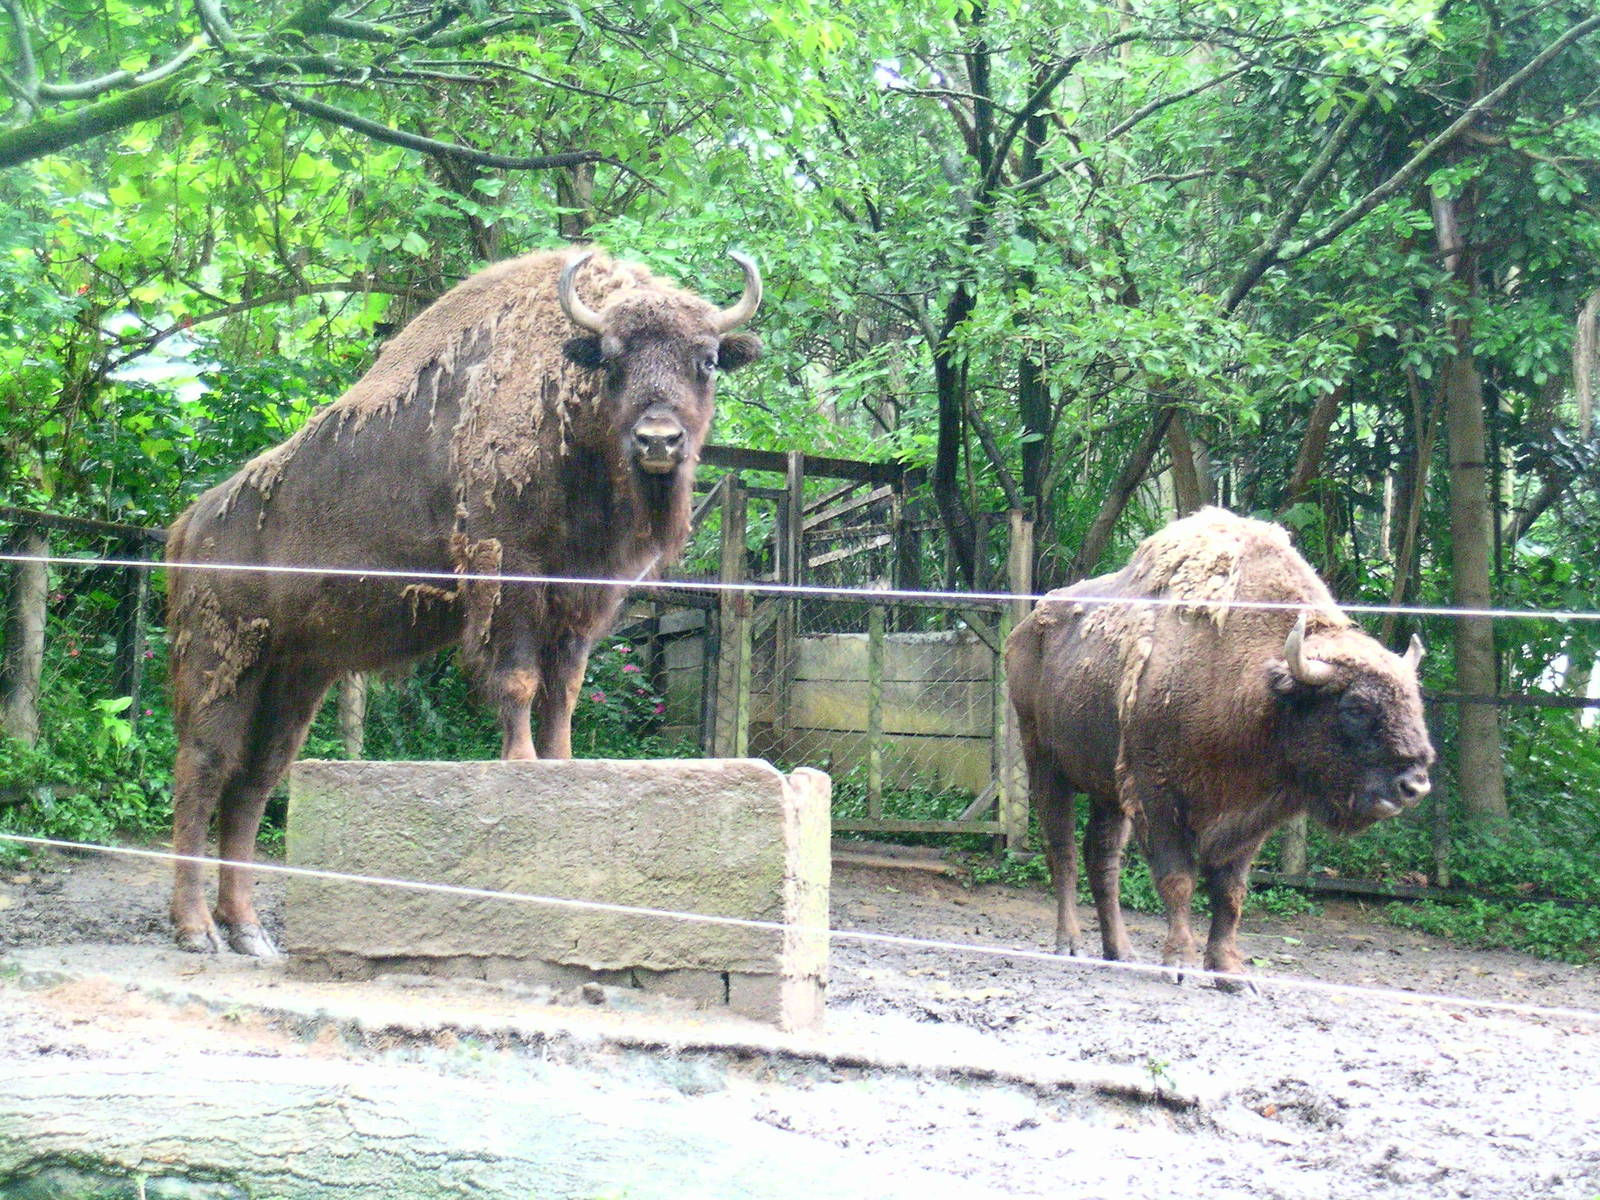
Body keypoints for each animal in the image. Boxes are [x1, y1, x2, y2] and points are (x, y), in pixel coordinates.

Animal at [165, 246, 761, 956]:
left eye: (707, 359)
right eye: (613, 359)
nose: (659, 440)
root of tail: (191, 524)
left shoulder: (584, 600)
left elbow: (565, 690)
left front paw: (562, 763)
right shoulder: (509, 577)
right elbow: (520, 680)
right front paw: (522, 763)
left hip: (294, 674)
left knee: (254, 784)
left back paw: (249, 931)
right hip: (224, 660)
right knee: (204, 770)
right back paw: (196, 930)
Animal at [1005, 508, 1434, 982]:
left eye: (1413, 700)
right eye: (1355, 707)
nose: (1415, 785)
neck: (1259, 689)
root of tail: (1026, 627)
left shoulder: (1249, 816)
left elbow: (1230, 891)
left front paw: (1231, 974)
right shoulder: (1159, 799)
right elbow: (1177, 878)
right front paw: (1178, 962)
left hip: (1108, 787)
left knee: (1102, 858)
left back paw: (1121, 951)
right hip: (1045, 763)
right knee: (1061, 850)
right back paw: (1070, 945)